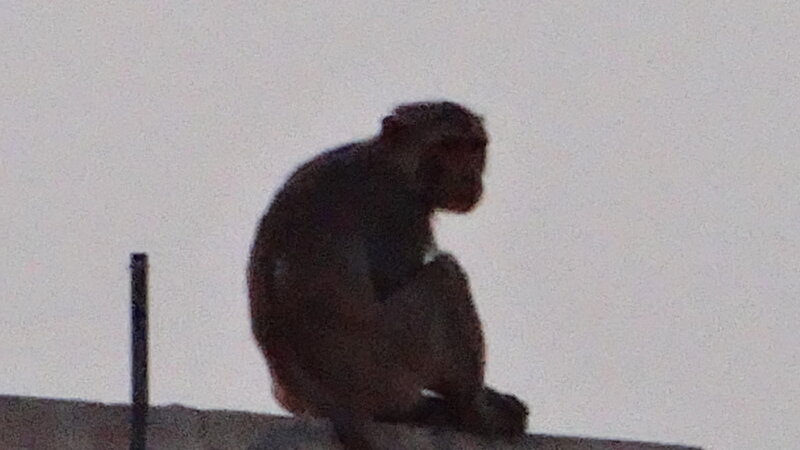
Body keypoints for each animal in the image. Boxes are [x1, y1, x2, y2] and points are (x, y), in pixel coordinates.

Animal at [247, 101, 528, 448]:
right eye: (447, 146)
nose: (467, 177)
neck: (389, 159)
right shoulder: (399, 209)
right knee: (445, 276)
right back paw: (473, 413)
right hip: (379, 367)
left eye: (474, 146)